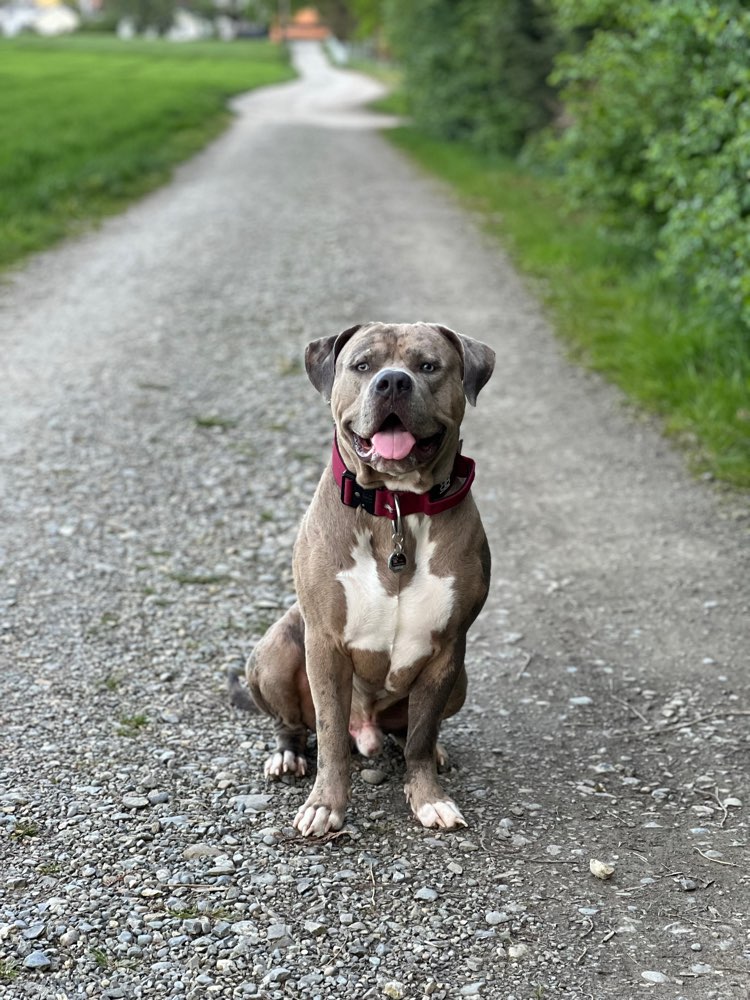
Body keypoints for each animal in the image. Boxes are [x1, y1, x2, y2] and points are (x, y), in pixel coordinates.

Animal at [234, 322, 494, 836]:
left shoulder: (448, 648)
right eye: (362, 365)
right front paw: (324, 806)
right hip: (274, 652)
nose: (392, 382)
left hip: (461, 680)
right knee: (294, 725)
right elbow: (331, 735)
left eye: (428, 366)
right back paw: (288, 756)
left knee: (411, 731)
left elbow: (420, 733)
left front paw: (429, 798)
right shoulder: (325, 643)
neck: (394, 507)